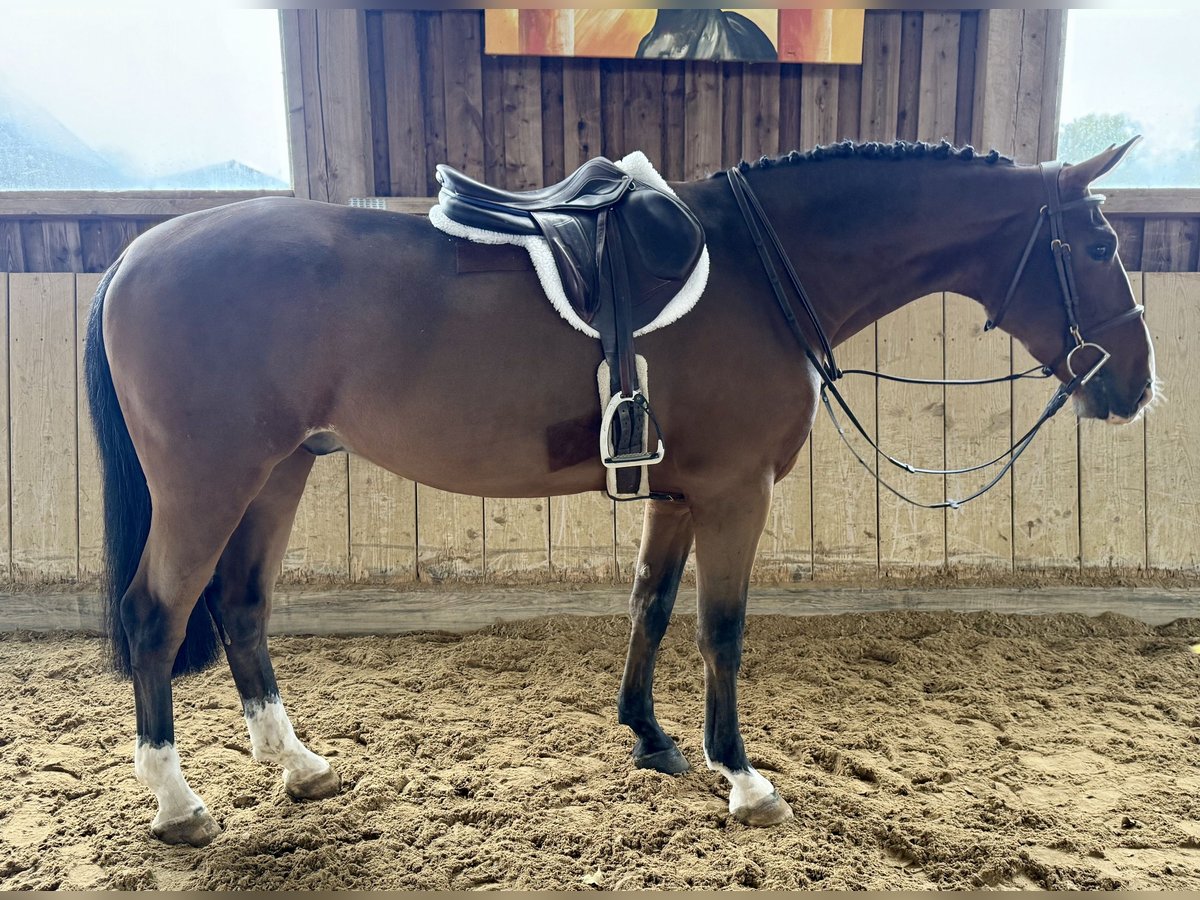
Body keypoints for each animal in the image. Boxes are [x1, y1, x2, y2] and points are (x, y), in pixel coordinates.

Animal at [84, 138, 1153, 846]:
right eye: (1100, 248)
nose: (1137, 387)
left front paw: (650, 737)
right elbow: (722, 629)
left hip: (282, 469)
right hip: (211, 479)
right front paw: (744, 778)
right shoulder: (734, 494)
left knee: (240, 603)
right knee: (155, 613)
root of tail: (136, 255)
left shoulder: (676, 496)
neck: (762, 271)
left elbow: (651, 603)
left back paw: (297, 764)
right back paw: (177, 804)